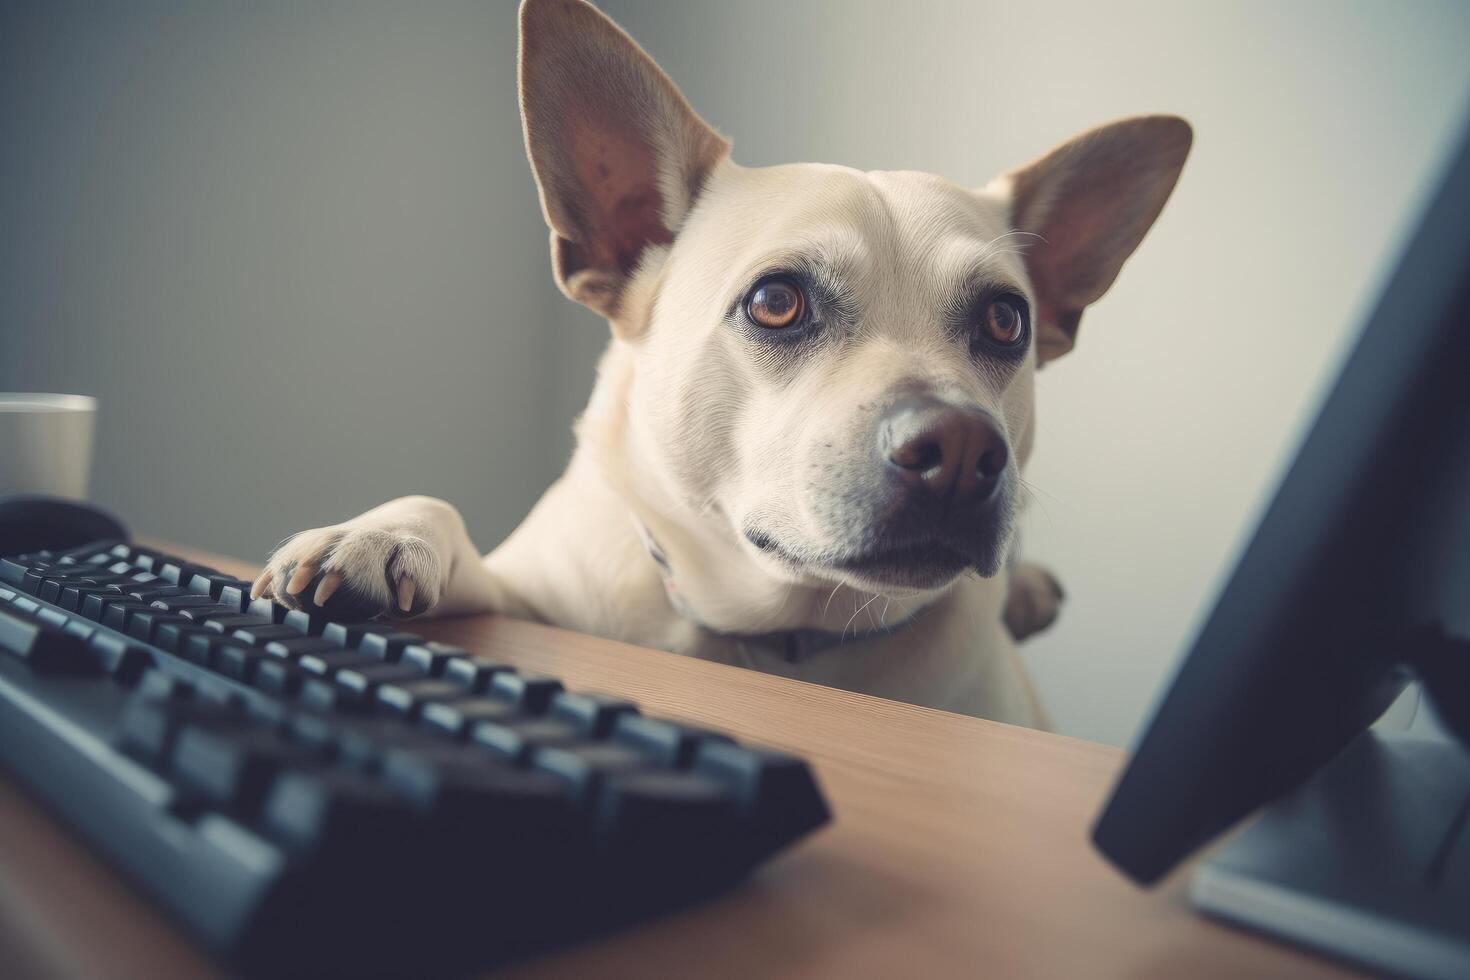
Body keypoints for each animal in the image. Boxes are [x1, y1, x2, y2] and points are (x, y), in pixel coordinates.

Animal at [252, 0, 1193, 728]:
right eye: (776, 302)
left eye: (1005, 322)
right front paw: (382, 534)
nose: (962, 449)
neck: (772, 632)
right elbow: (442, 516)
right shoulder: (523, 592)